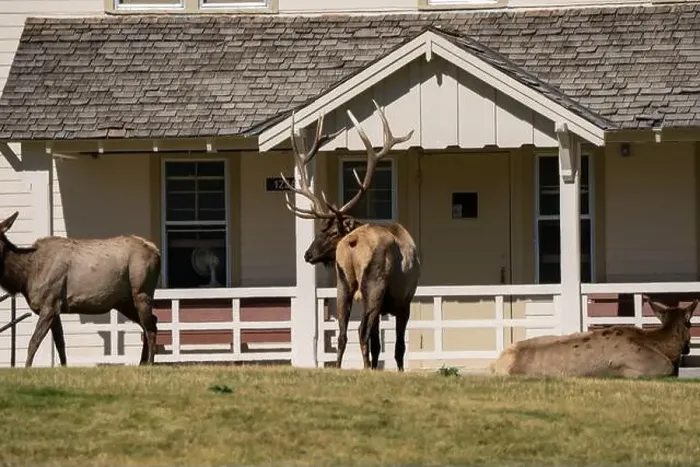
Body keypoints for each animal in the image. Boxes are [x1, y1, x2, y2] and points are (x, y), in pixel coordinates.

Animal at [0, 211, 161, 367]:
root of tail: (157, 252)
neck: (26, 278)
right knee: (150, 322)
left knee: (151, 328)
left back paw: (150, 363)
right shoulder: (55, 307)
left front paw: (27, 368)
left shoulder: (49, 303)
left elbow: (34, 341)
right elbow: (60, 343)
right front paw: (63, 368)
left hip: (142, 291)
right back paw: (142, 363)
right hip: (124, 302)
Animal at [280, 100, 420, 372]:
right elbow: (397, 347)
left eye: (330, 231)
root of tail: (354, 243)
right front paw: (397, 370)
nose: (307, 254)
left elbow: (378, 344)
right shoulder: (404, 301)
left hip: (342, 284)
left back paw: (339, 367)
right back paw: (364, 368)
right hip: (374, 284)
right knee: (360, 332)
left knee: (343, 333)